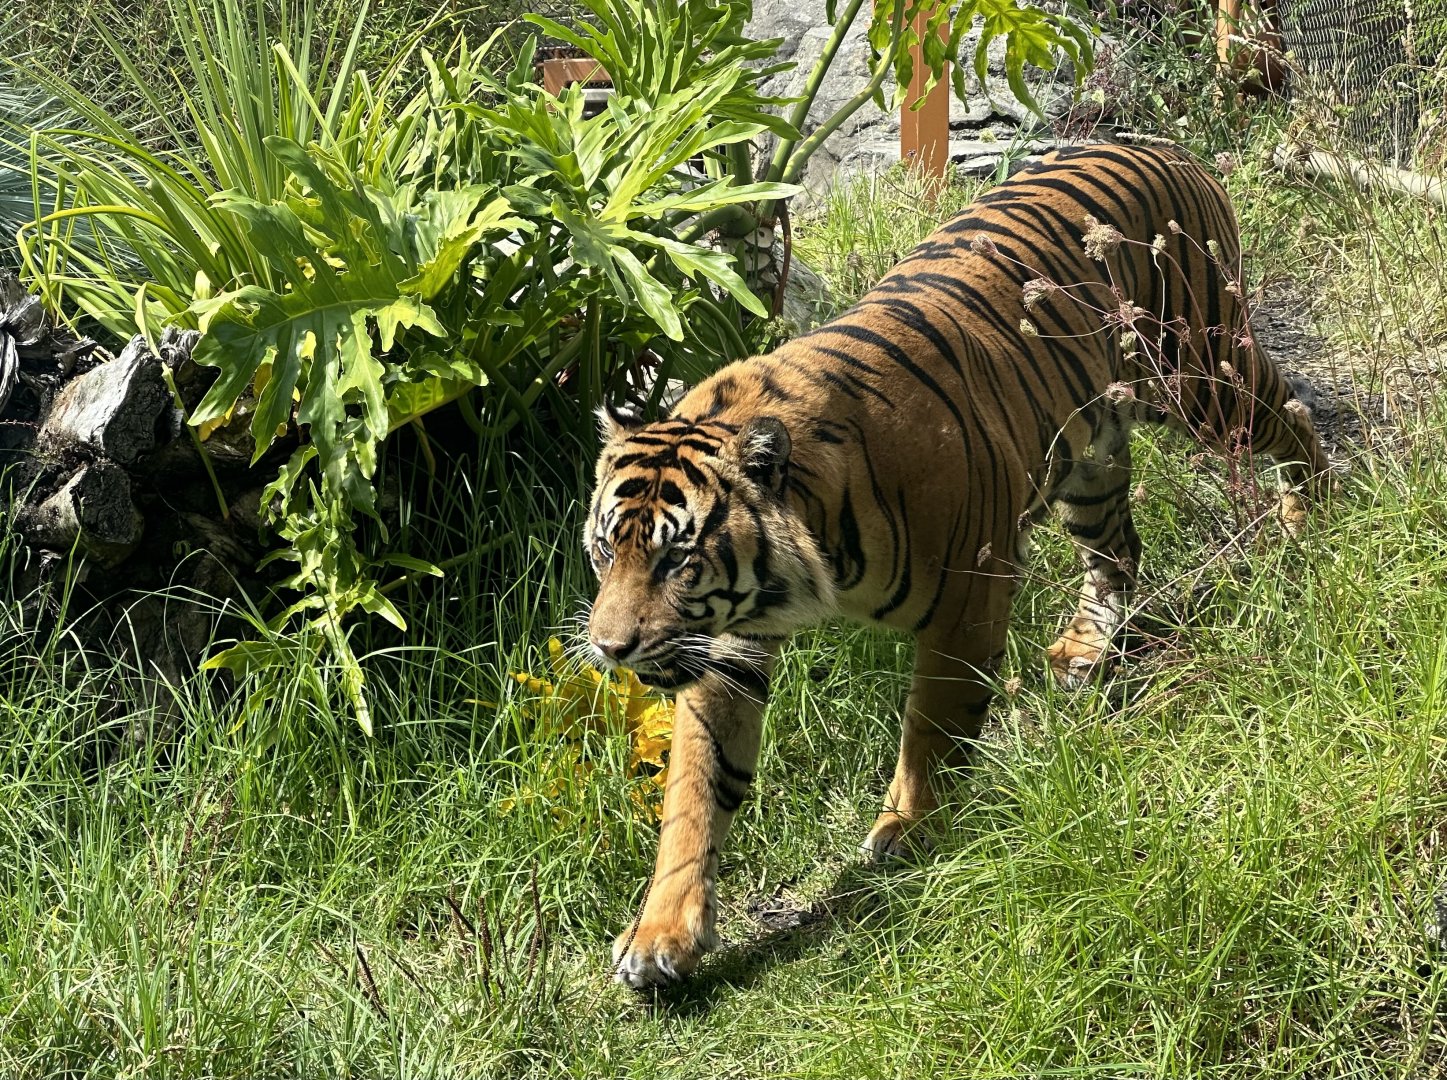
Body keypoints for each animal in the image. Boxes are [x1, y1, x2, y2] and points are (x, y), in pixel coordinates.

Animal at [583, 143, 1329, 989]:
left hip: (1197, 373)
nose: (609, 649)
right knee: (1117, 549)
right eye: (607, 550)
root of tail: (1157, 145)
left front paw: (908, 829)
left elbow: (929, 729)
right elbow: (697, 789)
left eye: (677, 560)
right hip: (1089, 458)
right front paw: (660, 934)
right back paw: (1084, 651)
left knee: (1290, 415)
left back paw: (1311, 516)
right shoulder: (728, 646)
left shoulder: (965, 599)